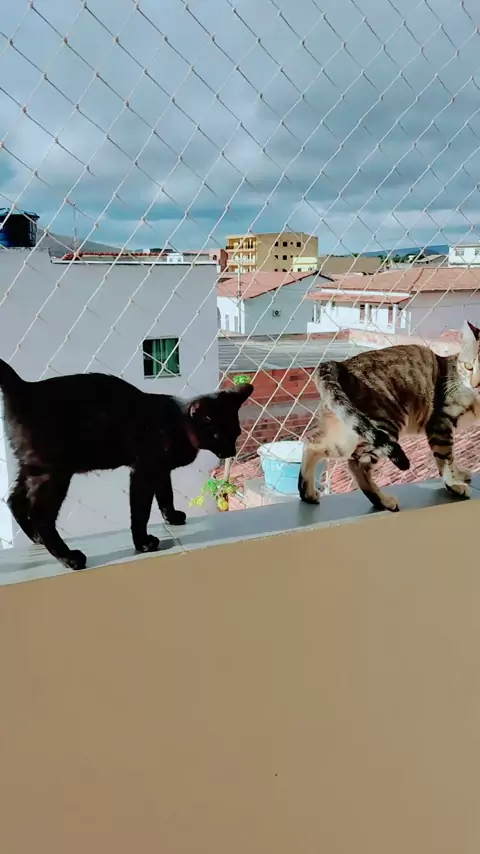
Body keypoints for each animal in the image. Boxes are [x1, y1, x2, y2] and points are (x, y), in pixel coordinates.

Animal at [0, 361, 253, 570]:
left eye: (236, 433)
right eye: (220, 435)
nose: (232, 451)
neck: (179, 423)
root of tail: (25, 388)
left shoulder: (160, 470)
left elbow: (166, 495)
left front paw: (172, 517)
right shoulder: (144, 470)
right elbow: (140, 510)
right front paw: (143, 543)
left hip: (34, 468)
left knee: (14, 499)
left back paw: (37, 538)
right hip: (55, 472)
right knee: (40, 515)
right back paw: (69, 557)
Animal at [299, 320, 480, 513]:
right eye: (469, 366)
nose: (475, 385)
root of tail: (341, 364)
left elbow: (451, 459)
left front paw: (458, 474)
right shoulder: (440, 424)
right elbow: (446, 459)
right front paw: (454, 485)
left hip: (346, 434)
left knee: (312, 446)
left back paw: (307, 493)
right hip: (385, 425)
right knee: (357, 464)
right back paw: (383, 501)